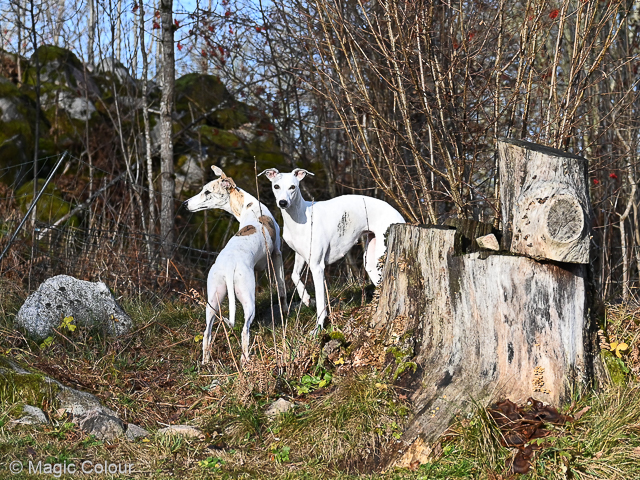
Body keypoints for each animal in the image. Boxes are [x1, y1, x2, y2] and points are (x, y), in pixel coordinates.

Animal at [184, 167, 286, 362]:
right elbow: (281, 286)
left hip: (213, 300)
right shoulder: (277, 254)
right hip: (247, 299)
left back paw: (205, 362)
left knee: (207, 333)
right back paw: (246, 359)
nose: (185, 204)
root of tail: (228, 266)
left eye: (206, 192)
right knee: (245, 331)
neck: (249, 206)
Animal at [256, 169, 402, 330]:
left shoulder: (317, 267)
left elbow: (321, 301)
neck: (300, 216)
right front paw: (306, 299)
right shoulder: (300, 255)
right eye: (276, 186)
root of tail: (397, 213)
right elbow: (294, 275)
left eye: (292, 187)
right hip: (371, 262)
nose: (283, 203)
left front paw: (318, 327)